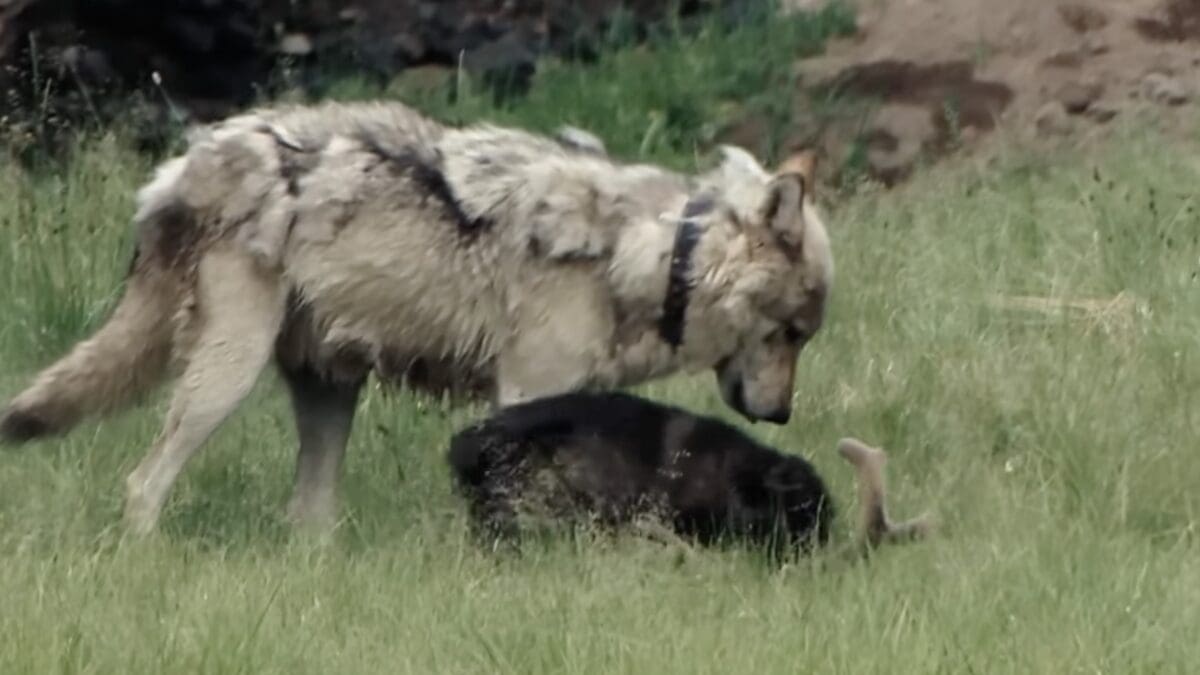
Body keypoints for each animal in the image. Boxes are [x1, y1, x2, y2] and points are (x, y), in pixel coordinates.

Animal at [0, 99, 833, 535]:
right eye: (792, 332)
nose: (784, 415)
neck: (653, 257)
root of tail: (189, 166)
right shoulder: (528, 395)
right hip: (226, 375)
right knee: (143, 484)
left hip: (329, 390)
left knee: (306, 517)